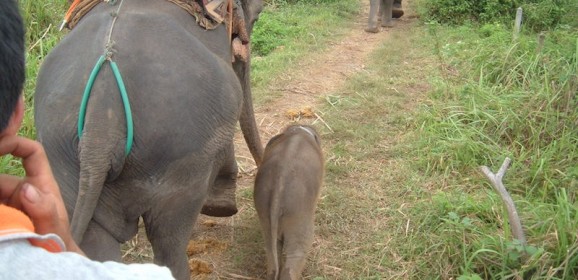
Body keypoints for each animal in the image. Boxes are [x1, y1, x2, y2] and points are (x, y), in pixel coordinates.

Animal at [32, 0, 262, 278]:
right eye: (256, 16)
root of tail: (101, 121)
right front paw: (222, 207)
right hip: (182, 155)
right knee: (169, 241)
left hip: (61, 157)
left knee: (98, 243)